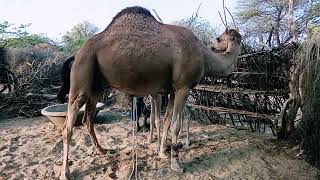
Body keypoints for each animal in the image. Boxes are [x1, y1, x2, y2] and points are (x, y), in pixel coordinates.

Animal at [60, 5, 241, 179]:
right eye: (220, 38)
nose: (212, 43)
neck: (203, 55)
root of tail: (77, 53)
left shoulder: (173, 90)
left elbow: (166, 120)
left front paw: (161, 152)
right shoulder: (184, 87)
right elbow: (175, 125)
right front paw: (176, 164)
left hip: (96, 86)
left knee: (87, 119)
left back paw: (102, 150)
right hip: (82, 75)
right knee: (69, 123)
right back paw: (65, 173)